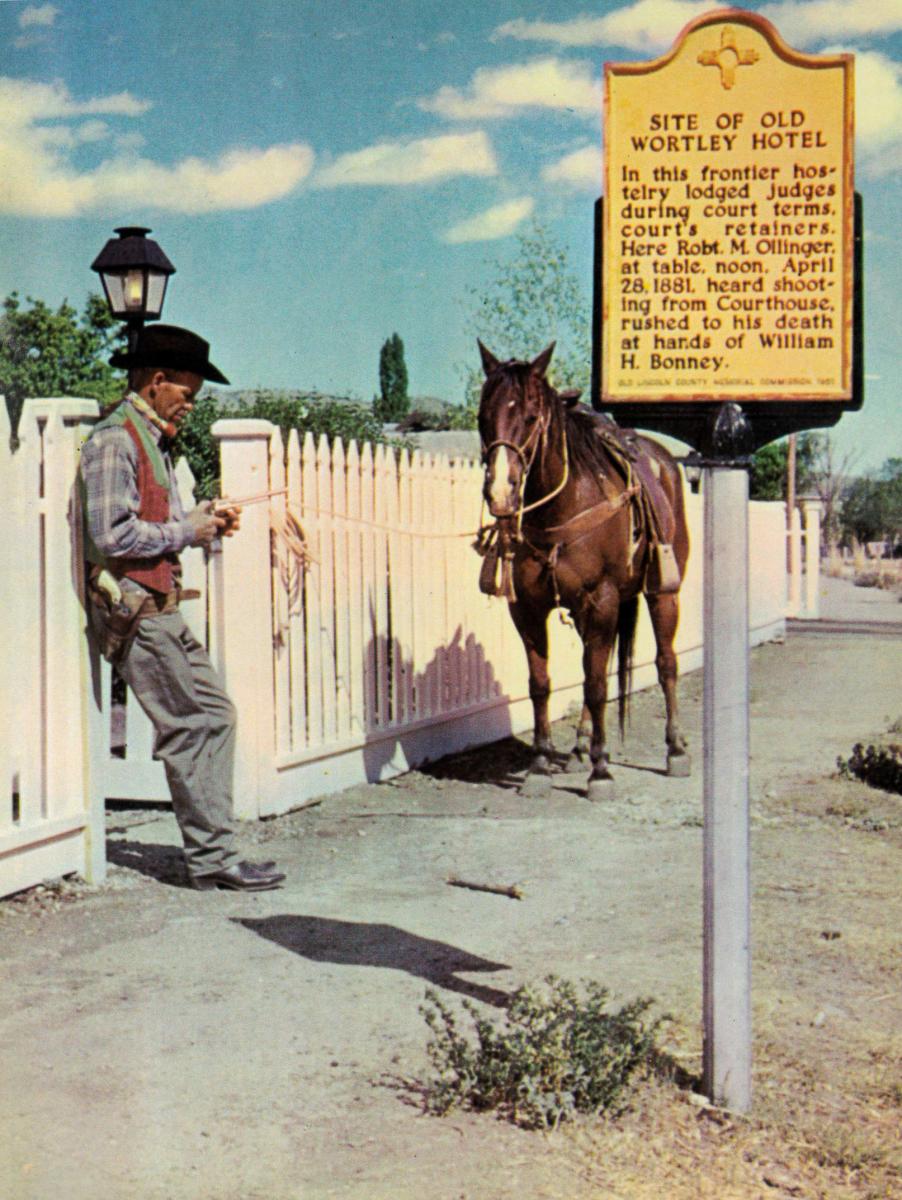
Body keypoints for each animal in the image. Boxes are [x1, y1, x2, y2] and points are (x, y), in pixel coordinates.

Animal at [479, 343, 690, 801]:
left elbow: (595, 686)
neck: (564, 505)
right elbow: (541, 683)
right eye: (483, 417)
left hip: (662, 593)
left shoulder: (602, 599)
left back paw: (676, 749)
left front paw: (602, 771)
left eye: (530, 416)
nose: (500, 493)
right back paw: (577, 747)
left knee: (666, 663)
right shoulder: (529, 609)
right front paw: (541, 764)